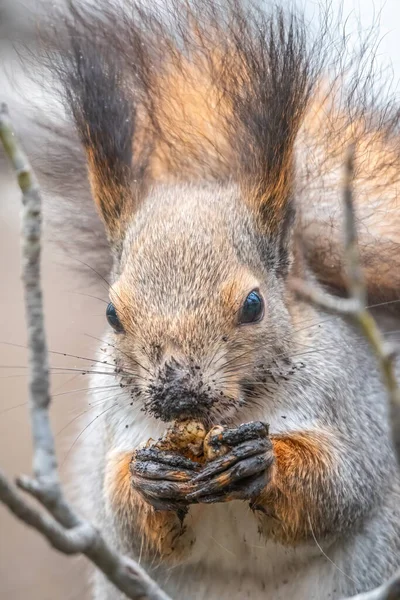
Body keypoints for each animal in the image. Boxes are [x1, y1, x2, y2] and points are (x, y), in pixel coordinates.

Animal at [35, 1, 400, 600]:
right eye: (112, 314)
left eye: (254, 304)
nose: (178, 390)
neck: (236, 411)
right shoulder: (114, 424)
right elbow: (123, 516)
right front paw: (148, 480)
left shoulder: (351, 405)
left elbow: (339, 486)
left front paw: (262, 461)